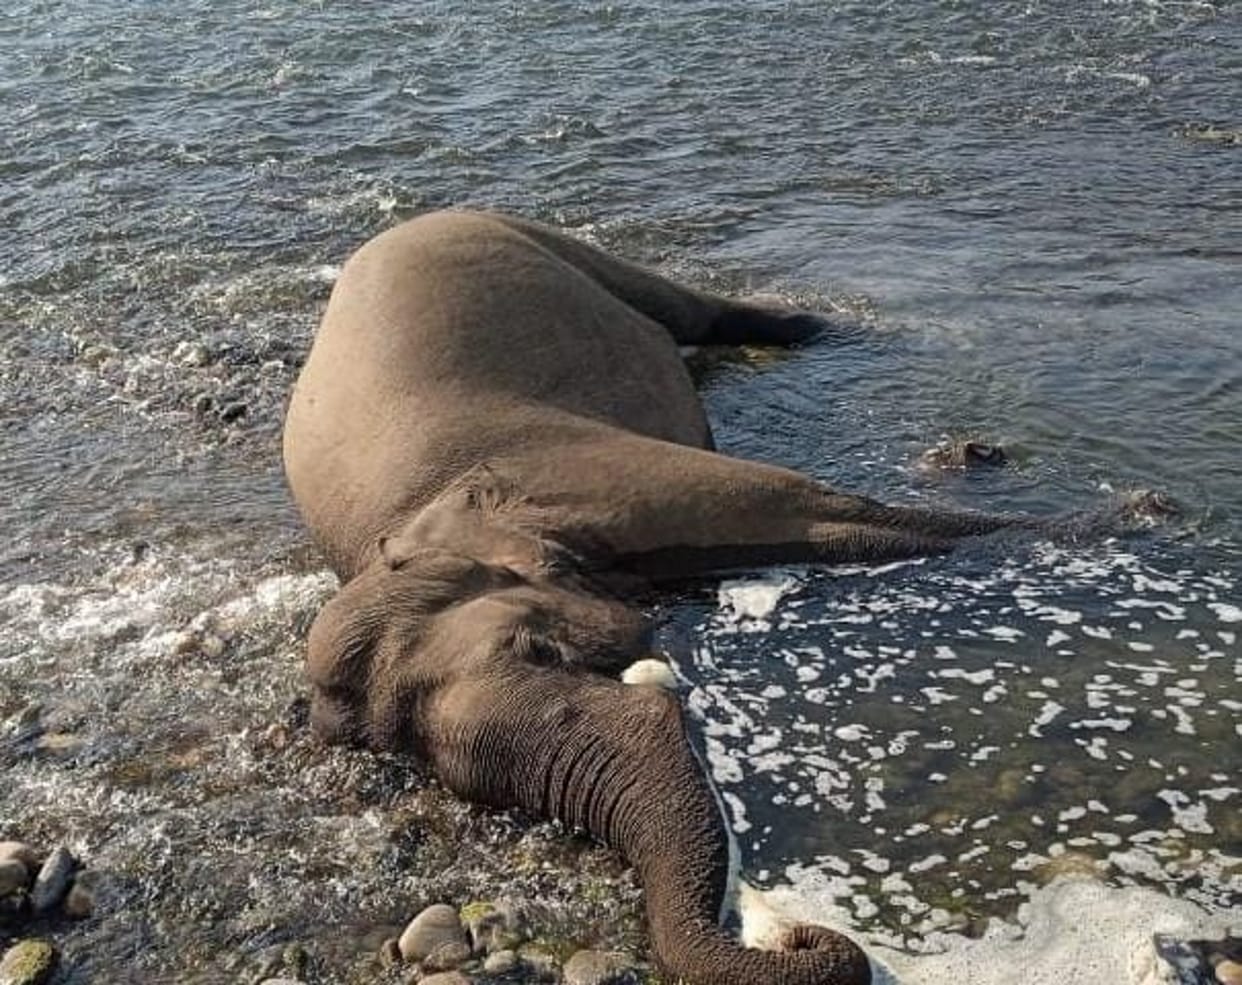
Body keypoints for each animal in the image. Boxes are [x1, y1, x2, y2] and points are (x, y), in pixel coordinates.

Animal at [281, 211, 1064, 984]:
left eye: (538, 650)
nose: (788, 935)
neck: (414, 526)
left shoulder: (575, 472)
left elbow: (821, 511)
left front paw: (1084, 528)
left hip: (529, 237)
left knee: (688, 308)